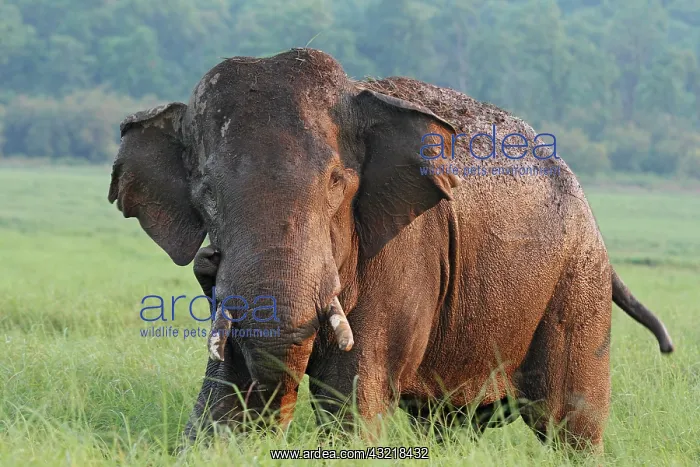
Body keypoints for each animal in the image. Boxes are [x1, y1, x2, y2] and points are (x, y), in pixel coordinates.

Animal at [108, 48, 674, 451]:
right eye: (205, 192)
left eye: (337, 184)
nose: (208, 264)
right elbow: (226, 393)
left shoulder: (405, 251)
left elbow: (352, 395)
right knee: (448, 423)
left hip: (577, 281)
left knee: (569, 425)